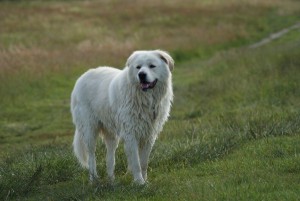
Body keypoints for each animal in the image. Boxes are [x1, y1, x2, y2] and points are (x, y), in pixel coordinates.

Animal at [71, 49, 173, 185]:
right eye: (138, 67)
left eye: (152, 66)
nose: (141, 75)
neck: (145, 100)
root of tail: (81, 78)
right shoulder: (131, 134)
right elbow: (136, 163)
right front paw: (140, 183)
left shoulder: (149, 136)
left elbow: (144, 163)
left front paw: (145, 181)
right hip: (90, 131)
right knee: (91, 157)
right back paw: (94, 180)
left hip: (112, 136)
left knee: (110, 158)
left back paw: (111, 181)